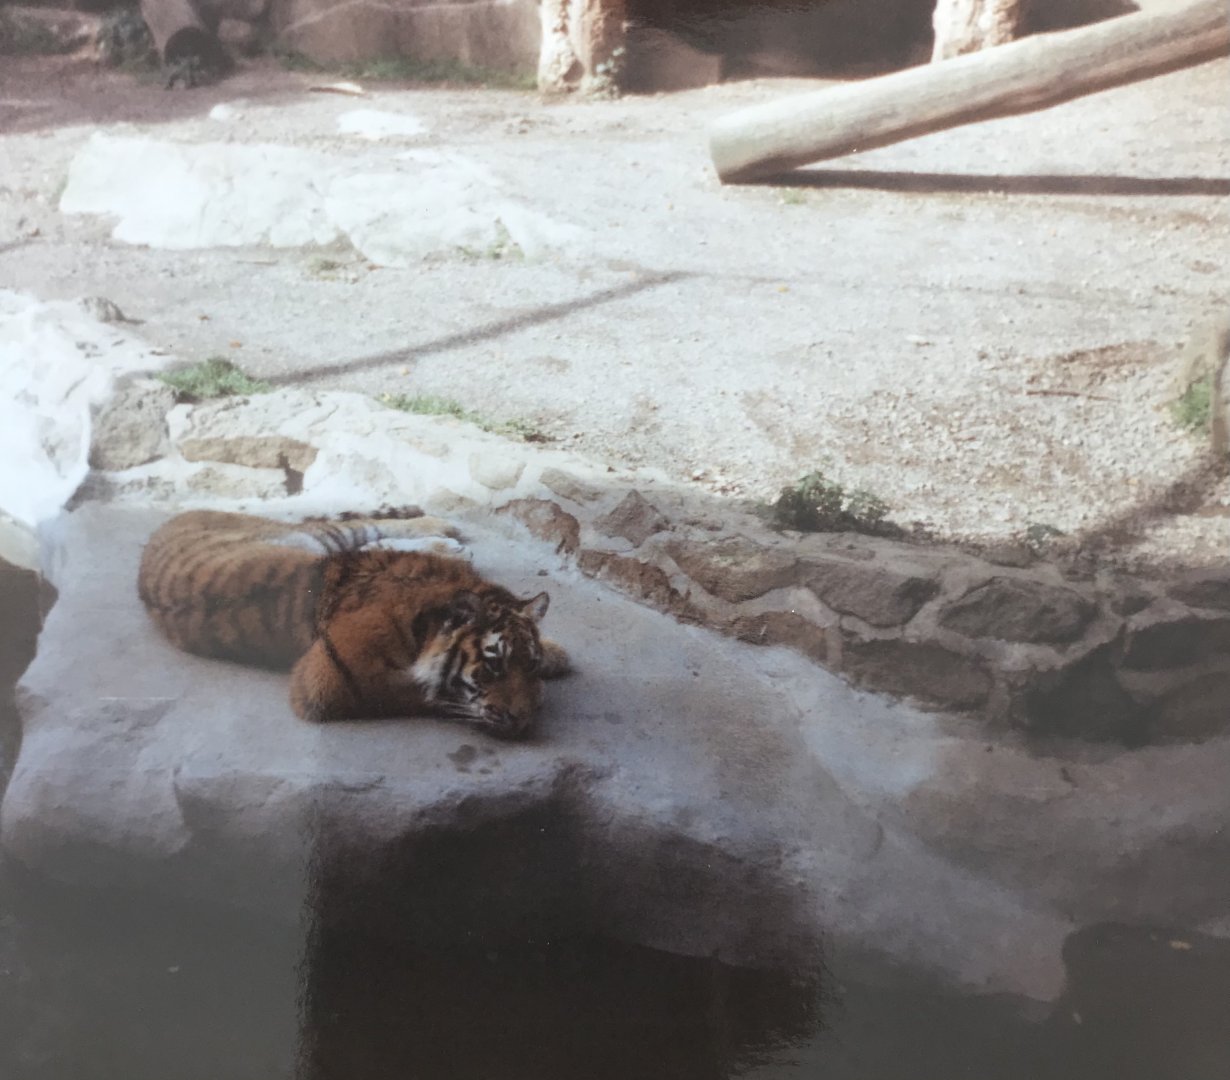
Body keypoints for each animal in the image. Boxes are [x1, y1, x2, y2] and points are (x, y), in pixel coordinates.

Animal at [137, 509, 571, 739]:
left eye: (528, 664)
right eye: (492, 666)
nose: (522, 721)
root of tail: (170, 519)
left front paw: (554, 655)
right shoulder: (330, 677)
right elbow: (423, 693)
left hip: (321, 542)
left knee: (372, 533)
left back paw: (443, 530)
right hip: (318, 537)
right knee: (363, 531)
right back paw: (447, 537)